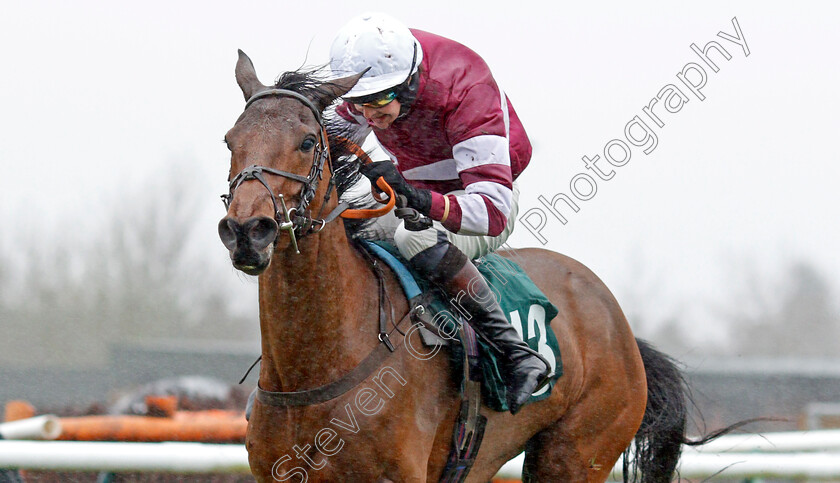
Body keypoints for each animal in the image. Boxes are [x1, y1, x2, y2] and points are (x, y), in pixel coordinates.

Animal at [220, 51, 692, 482]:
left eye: (306, 142)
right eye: (230, 140)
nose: (247, 230)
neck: (312, 368)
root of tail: (623, 329)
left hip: (576, 452)